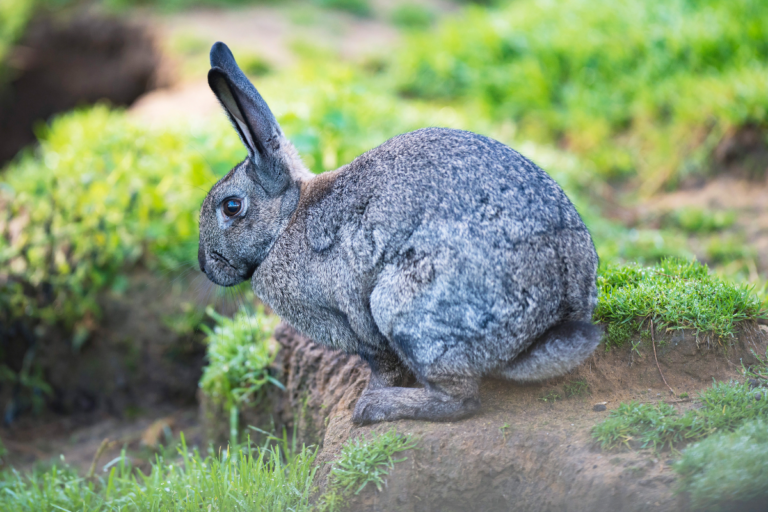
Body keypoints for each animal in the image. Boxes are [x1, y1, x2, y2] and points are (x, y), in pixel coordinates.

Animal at [196, 42, 600, 424]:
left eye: (231, 207)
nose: (204, 266)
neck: (287, 219)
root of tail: (559, 310)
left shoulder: (352, 321)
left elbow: (382, 364)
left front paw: (370, 393)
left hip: (403, 307)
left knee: (461, 400)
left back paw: (375, 407)